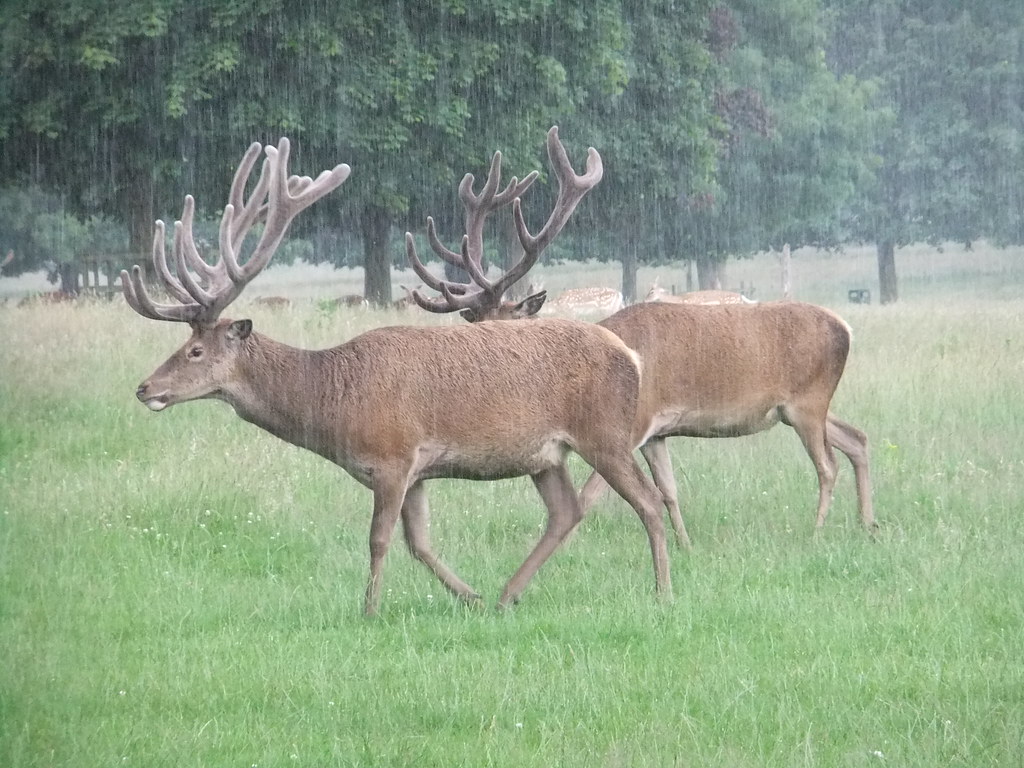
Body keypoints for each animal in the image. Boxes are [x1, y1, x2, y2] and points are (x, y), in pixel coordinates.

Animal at [121, 137, 671, 616]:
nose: (145, 388)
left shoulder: (393, 455)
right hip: (546, 454)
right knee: (566, 512)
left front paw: (369, 610)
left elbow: (380, 539)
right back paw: (505, 595)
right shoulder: (418, 471)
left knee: (648, 501)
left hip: (605, 433)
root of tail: (630, 355)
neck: (335, 404)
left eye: (194, 350)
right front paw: (469, 597)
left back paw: (662, 592)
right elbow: (419, 542)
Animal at [406, 129, 875, 547]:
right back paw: (867, 523)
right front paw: (685, 546)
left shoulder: (632, 423)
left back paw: (818, 532)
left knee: (828, 464)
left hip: (807, 402)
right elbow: (668, 491)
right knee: (857, 439)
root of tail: (846, 327)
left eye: (500, 326)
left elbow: (591, 495)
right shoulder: (656, 434)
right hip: (800, 408)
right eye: (473, 324)